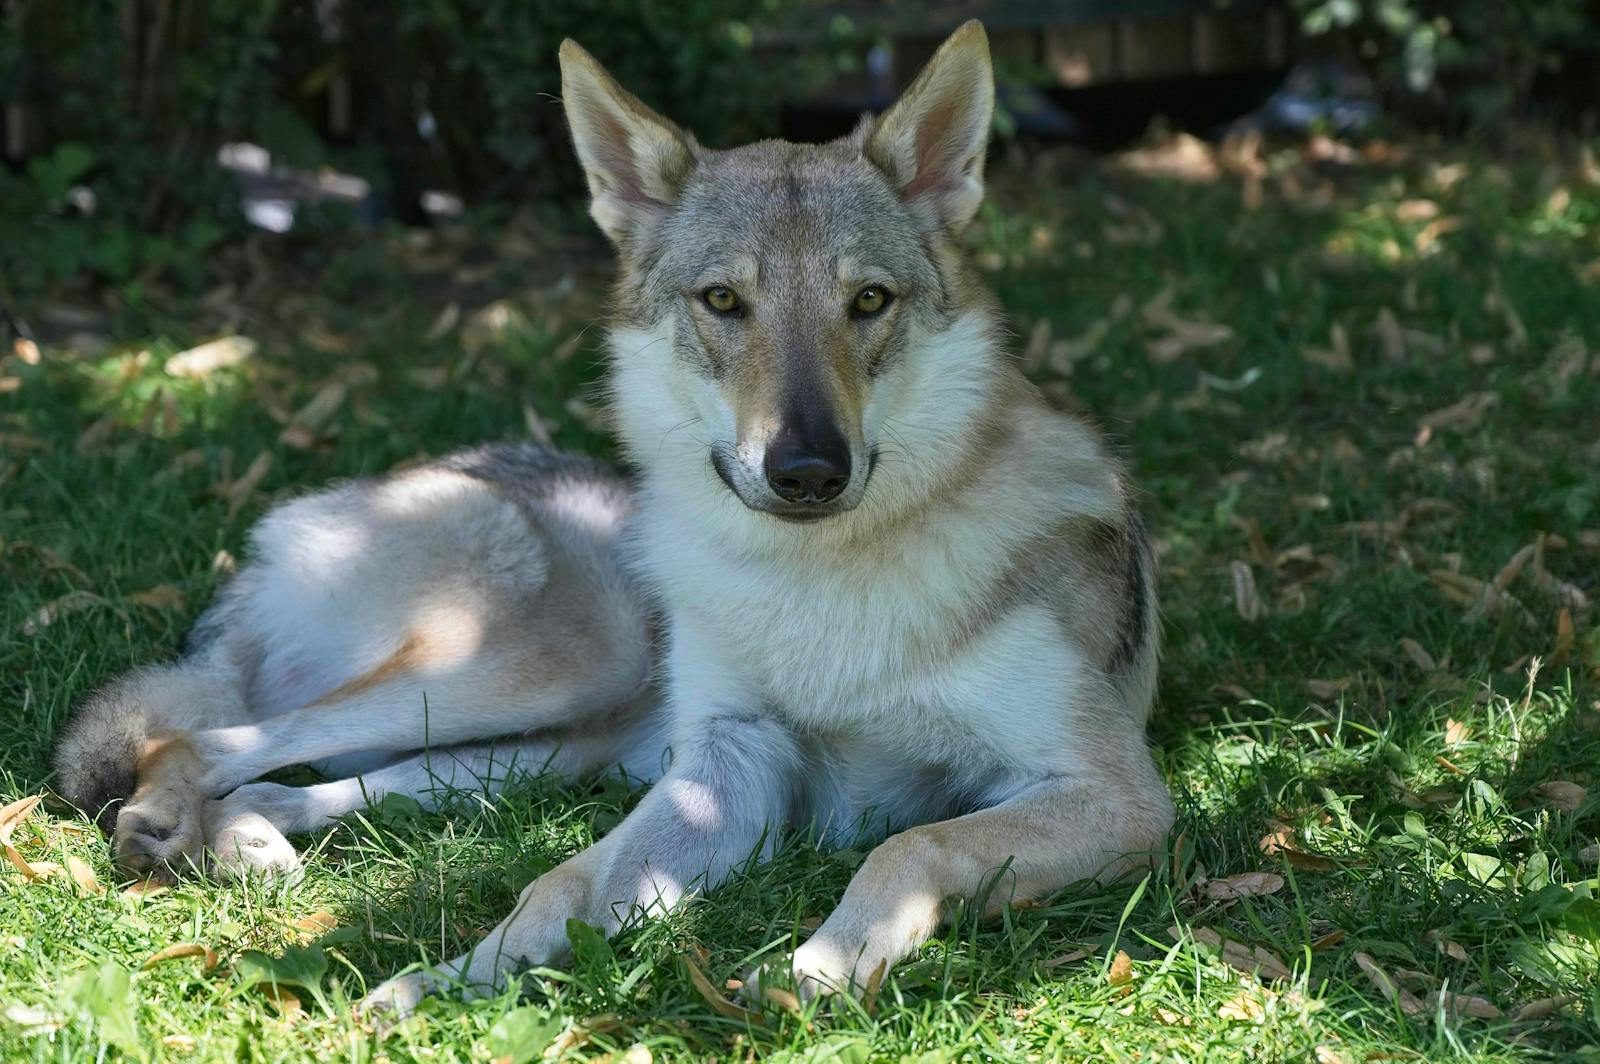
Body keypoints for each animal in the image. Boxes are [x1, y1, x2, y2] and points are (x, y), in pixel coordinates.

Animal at [52, 20, 1173, 1012]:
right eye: (722, 302)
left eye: (868, 302)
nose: (808, 470)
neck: (816, 588)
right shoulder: (729, 766)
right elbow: (561, 880)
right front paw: (435, 986)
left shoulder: (1116, 793)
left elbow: (910, 844)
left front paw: (814, 971)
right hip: (559, 669)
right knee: (210, 738)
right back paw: (171, 822)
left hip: (555, 741)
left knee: (304, 780)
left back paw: (240, 841)